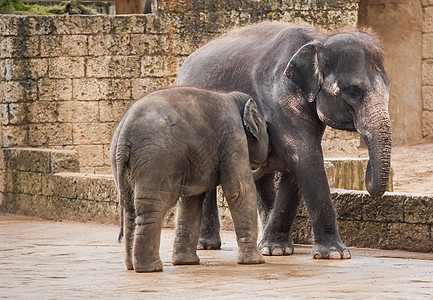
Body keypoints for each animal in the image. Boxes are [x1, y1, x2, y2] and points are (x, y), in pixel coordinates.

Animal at [109, 86, 266, 272]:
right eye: (266, 126)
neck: (234, 98)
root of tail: (124, 131)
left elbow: (191, 199)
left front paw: (186, 262)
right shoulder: (233, 136)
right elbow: (239, 190)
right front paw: (257, 262)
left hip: (125, 161)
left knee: (131, 210)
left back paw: (132, 267)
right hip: (157, 159)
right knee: (152, 207)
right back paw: (151, 268)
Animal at [176, 22, 392, 258]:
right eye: (354, 91)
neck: (321, 39)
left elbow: (297, 163)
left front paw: (276, 250)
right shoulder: (279, 95)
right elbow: (305, 155)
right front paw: (336, 254)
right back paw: (206, 245)